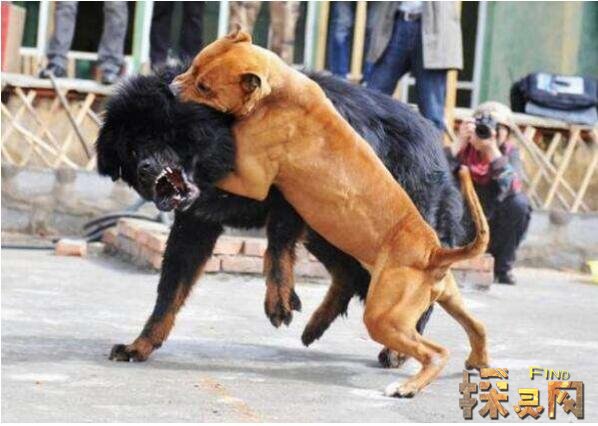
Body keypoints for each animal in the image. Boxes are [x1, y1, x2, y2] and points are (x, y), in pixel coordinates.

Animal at [96, 66, 465, 369]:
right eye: (132, 149)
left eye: (161, 135)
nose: (146, 170)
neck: (228, 134)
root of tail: (437, 146)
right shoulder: (196, 223)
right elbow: (169, 292)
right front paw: (140, 345)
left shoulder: (293, 198)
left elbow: (276, 246)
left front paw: (278, 302)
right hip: (332, 229)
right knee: (347, 274)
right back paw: (316, 326)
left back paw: (398, 349)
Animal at [172, 28, 490, 397]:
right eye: (194, 65)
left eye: (204, 87)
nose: (172, 88)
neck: (277, 92)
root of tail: (434, 252)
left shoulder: (252, 180)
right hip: (448, 297)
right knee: (478, 326)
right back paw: (480, 362)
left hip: (384, 316)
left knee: (436, 352)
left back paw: (407, 386)